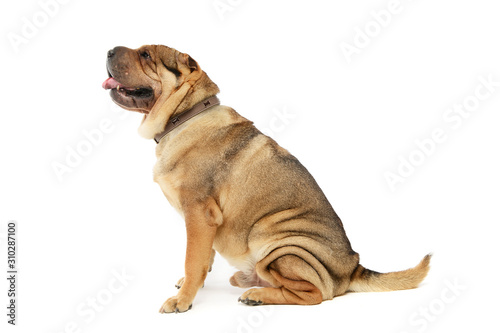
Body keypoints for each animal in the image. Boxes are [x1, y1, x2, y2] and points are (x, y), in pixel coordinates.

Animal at [103, 45, 432, 312]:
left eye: (146, 54)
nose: (108, 50)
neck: (185, 115)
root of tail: (353, 268)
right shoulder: (203, 222)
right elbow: (204, 258)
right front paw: (189, 285)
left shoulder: (198, 213)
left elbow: (193, 259)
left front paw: (182, 300)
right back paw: (248, 283)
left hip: (279, 245)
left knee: (312, 295)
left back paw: (257, 295)